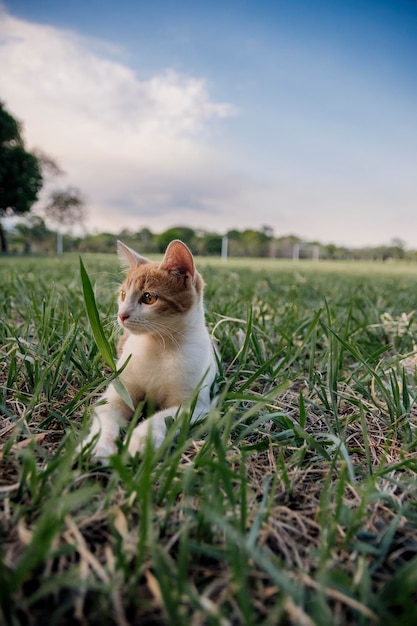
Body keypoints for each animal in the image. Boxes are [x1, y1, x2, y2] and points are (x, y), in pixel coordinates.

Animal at [77, 239, 218, 458]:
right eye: (123, 295)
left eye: (149, 298)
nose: (121, 315)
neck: (158, 346)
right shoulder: (117, 393)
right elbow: (106, 415)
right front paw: (99, 444)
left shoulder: (195, 405)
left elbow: (163, 417)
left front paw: (142, 440)